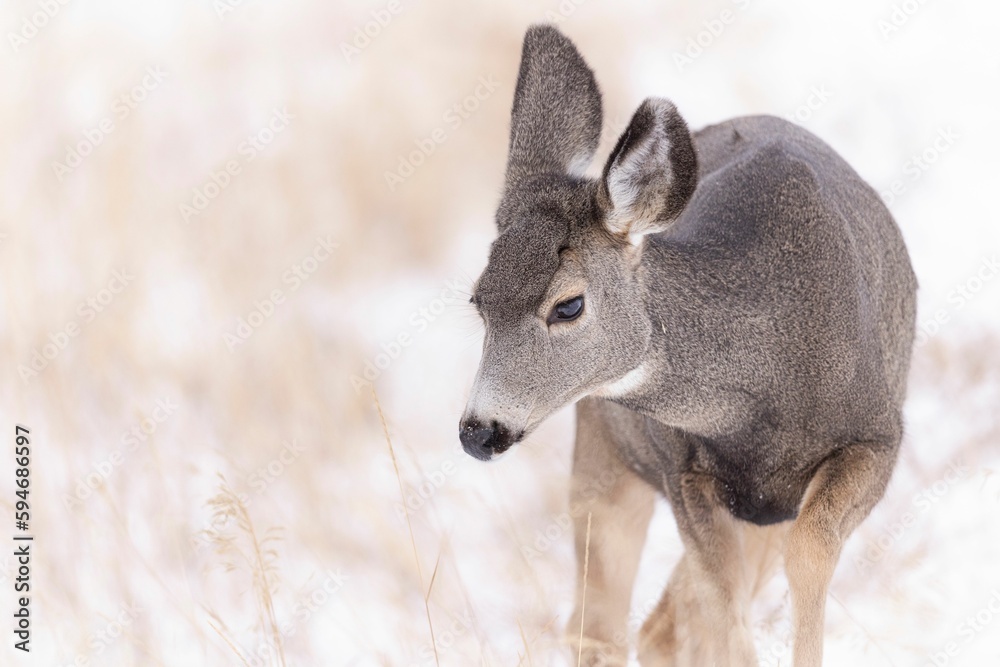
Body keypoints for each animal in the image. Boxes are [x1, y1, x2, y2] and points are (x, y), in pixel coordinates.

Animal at [458, 23, 916, 664]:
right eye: (480, 300)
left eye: (567, 305)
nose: (479, 430)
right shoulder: (682, 470)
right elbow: (721, 605)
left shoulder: (876, 436)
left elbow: (805, 558)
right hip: (608, 449)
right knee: (605, 623)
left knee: (653, 623)